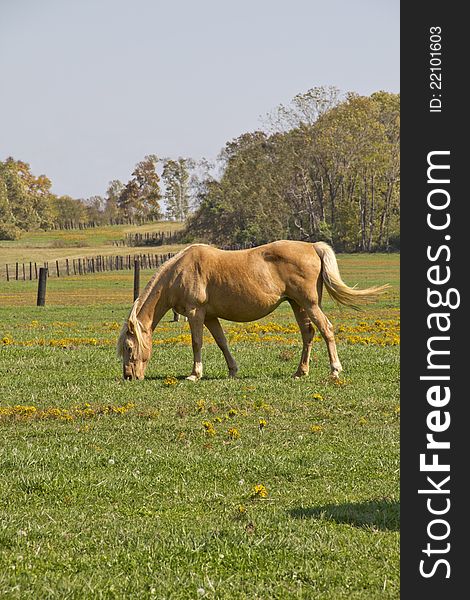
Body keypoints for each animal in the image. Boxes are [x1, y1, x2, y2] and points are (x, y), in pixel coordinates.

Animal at [116, 239, 390, 380]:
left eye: (129, 348)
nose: (129, 376)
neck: (180, 272)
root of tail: (312, 246)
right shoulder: (210, 316)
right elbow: (222, 342)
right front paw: (232, 371)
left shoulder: (196, 313)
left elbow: (197, 343)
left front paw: (195, 374)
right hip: (297, 304)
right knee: (308, 334)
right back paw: (300, 371)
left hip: (309, 304)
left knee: (326, 329)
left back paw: (334, 370)